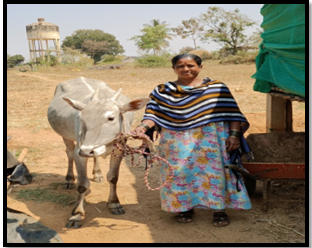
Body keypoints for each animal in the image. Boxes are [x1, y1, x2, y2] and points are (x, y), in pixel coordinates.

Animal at [47, 76, 149, 228]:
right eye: (82, 118)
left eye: (111, 118)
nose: (86, 150)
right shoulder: (79, 151)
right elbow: (82, 184)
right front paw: (77, 214)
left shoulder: (119, 150)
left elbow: (113, 177)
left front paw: (114, 203)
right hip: (66, 137)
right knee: (69, 154)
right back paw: (69, 179)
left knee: (95, 157)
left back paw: (98, 174)